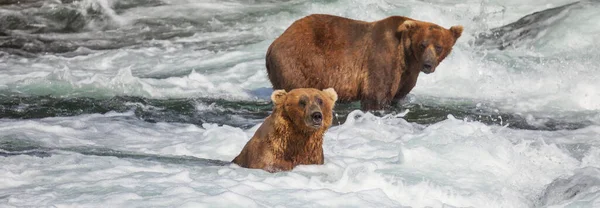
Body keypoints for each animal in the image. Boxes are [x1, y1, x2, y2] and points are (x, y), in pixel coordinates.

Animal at [266, 14, 464, 111]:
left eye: (439, 46)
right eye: (422, 44)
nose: (428, 65)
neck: (407, 57)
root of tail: (273, 43)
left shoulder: (406, 74)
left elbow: (398, 95)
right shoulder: (382, 57)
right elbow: (376, 94)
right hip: (299, 62)